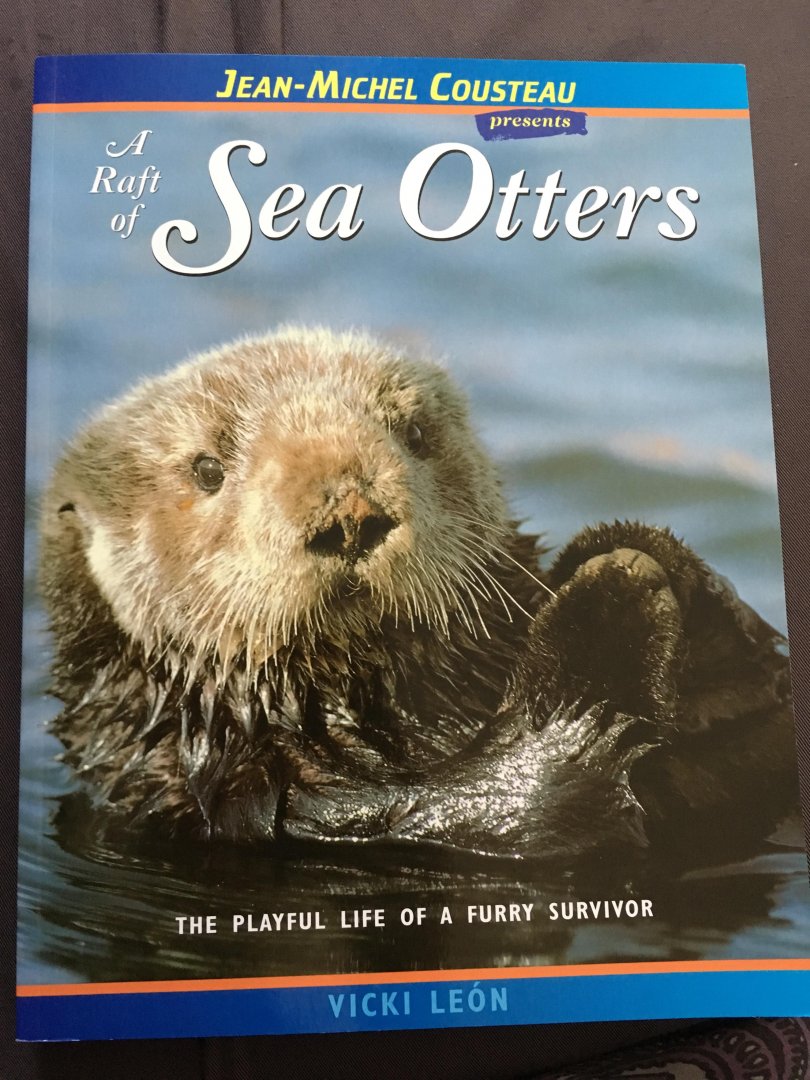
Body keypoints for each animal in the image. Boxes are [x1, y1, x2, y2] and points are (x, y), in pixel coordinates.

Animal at [41, 328, 796, 865]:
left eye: (415, 433)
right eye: (206, 468)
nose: (350, 515)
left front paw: (666, 575)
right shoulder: (257, 807)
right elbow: (524, 814)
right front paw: (611, 606)